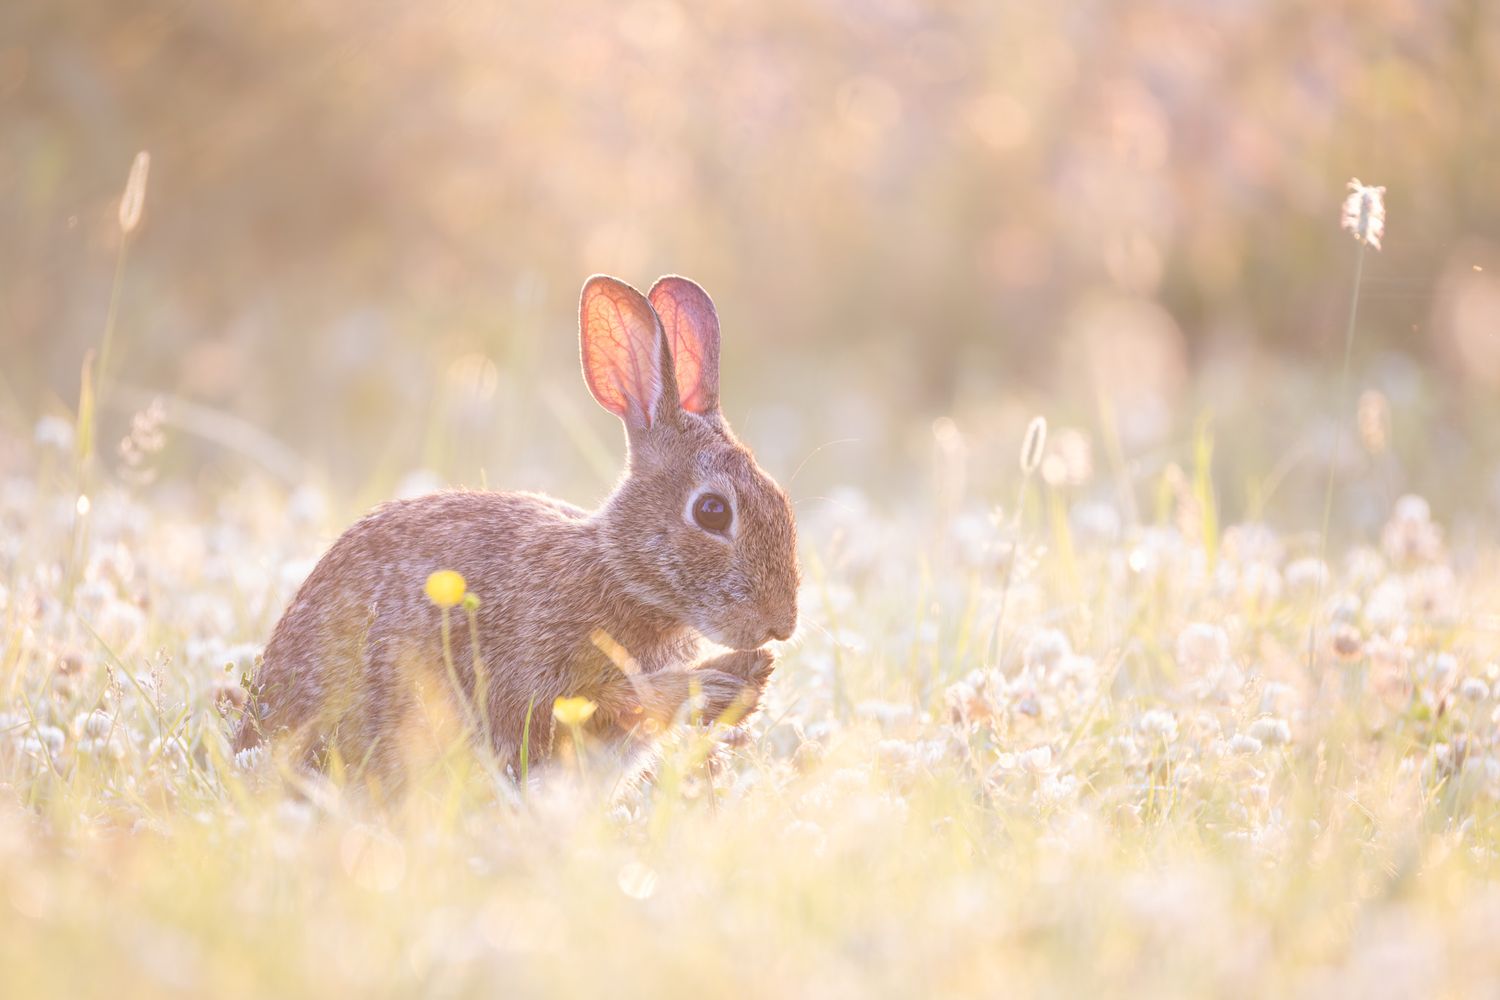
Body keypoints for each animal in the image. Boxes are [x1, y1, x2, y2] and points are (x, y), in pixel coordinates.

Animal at [234, 275, 799, 782]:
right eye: (712, 511)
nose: (782, 626)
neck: (617, 572)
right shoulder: (540, 678)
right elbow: (600, 702)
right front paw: (722, 686)